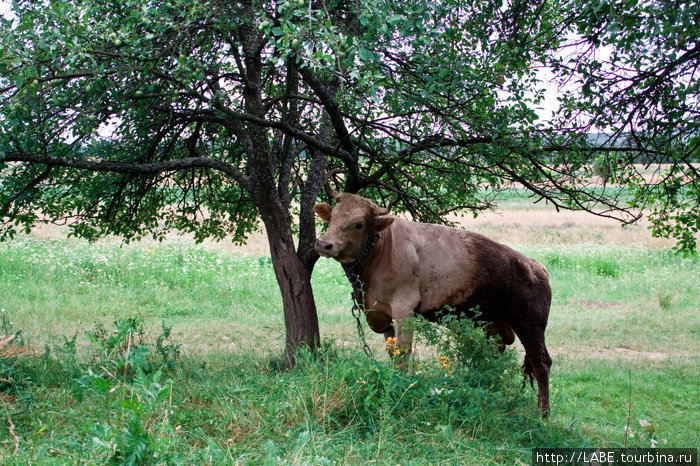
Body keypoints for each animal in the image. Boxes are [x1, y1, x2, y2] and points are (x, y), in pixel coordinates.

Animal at [316, 189, 552, 416]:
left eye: (359, 224)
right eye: (333, 216)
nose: (323, 244)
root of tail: (536, 266)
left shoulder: (404, 307)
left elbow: (403, 351)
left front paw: (401, 387)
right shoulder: (381, 313)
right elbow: (392, 352)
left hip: (530, 323)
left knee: (540, 362)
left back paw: (542, 414)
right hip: (494, 327)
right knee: (494, 357)